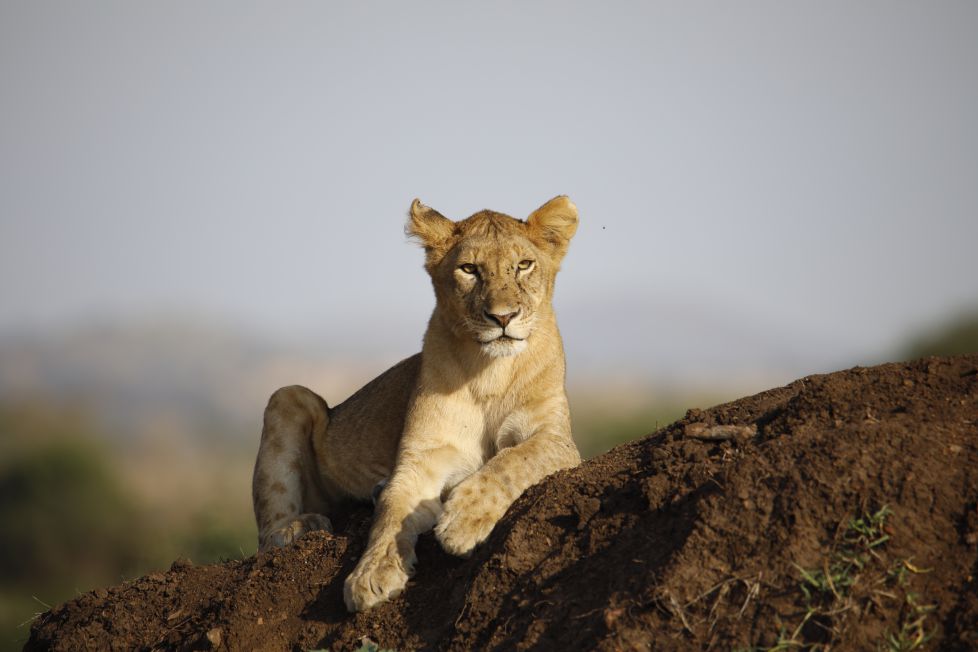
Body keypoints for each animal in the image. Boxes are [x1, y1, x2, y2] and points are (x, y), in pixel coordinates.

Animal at [251, 196, 581, 612]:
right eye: (469, 269)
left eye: (524, 265)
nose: (502, 317)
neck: (490, 371)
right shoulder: (422, 459)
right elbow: (392, 511)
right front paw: (372, 571)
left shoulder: (557, 439)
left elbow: (514, 460)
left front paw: (464, 518)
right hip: (289, 395)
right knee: (266, 535)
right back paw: (297, 526)